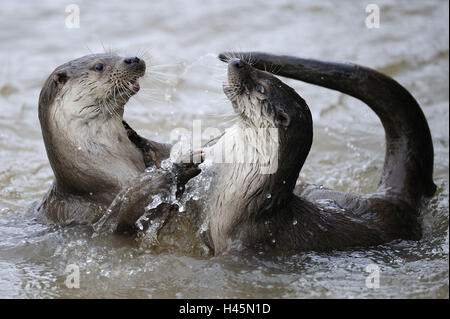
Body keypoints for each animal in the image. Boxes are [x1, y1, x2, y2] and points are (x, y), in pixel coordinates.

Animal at [33, 53, 199, 231]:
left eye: (115, 54)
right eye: (99, 66)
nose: (132, 59)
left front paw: (134, 135)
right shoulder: (100, 211)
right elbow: (127, 213)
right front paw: (177, 170)